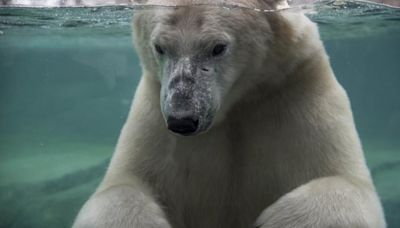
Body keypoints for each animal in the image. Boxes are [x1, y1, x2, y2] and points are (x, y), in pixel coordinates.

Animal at [73, 0, 386, 228]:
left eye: (217, 47)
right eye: (160, 47)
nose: (182, 120)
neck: (234, 105)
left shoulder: (296, 92)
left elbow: (345, 182)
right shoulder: (155, 113)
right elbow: (123, 185)